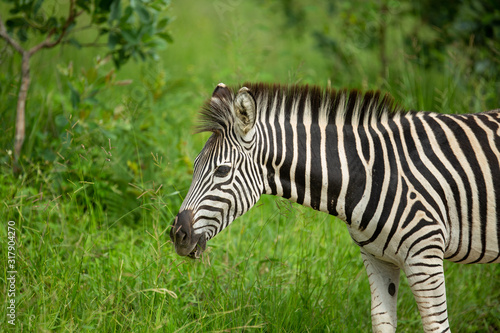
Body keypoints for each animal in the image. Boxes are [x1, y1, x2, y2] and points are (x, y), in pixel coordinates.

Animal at [170, 81, 498, 330]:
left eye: (222, 171)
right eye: (195, 166)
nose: (177, 234)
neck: (370, 172)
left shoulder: (425, 254)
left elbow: (436, 326)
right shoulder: (378, 258)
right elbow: (382, 323)